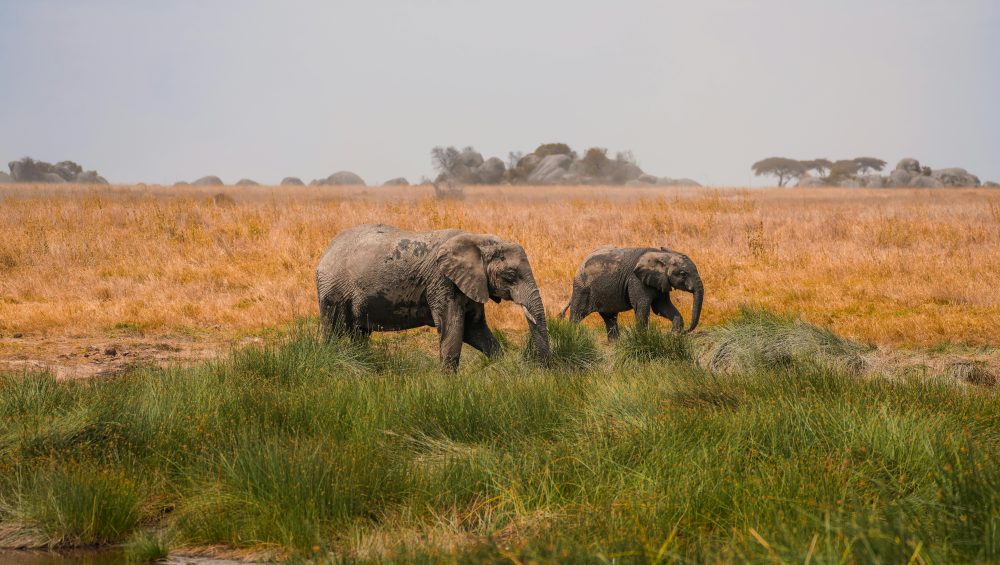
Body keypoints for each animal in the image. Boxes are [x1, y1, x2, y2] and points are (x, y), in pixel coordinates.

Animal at [316, 224, 551, 370]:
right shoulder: (442, 282)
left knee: (359, 333)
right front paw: (448, 385)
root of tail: (326, 251)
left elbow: (475, 330)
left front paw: (501, 366)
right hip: (333, 290)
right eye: (510, 275)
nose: (544, 370)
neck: (478, 240)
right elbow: (454, 328)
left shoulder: (471, 284)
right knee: (334, 330)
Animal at [559, 246, 703, 339]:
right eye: (683, 273)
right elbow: (642, 307)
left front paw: (674, 336)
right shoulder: (636, 280)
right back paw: (573, 337)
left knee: (609, 317)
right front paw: (643, 338)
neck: (661, 255)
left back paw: (615, 344)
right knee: (578, 314)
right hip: (582, 288)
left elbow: (662, 307)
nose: (686, 332)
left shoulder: (660, 281)